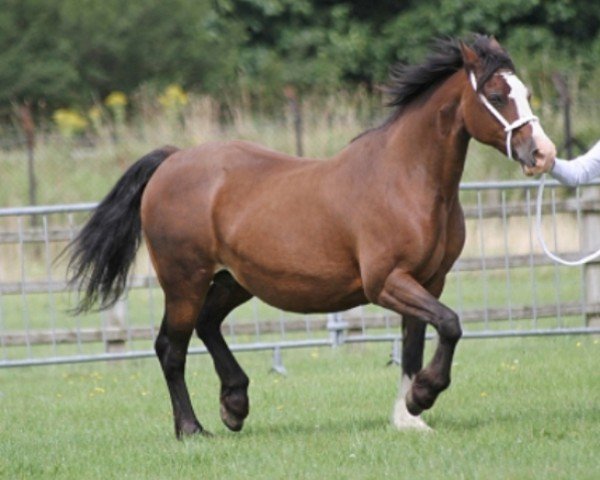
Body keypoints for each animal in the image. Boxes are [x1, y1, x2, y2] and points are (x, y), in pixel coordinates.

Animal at [65, 35, 552, 436]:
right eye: (496, 95)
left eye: (526, 93)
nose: (542, 154)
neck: (407, 179)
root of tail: (173, 159)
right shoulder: (387, 282)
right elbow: (450, 324)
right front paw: (423, 396)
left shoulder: (428, 281)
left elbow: (415, 346)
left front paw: (408, 417)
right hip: (184, 280)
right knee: (171, 348)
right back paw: (192, 429)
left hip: (235, 281)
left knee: (207, 325)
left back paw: (234, 405)